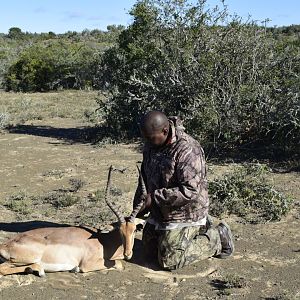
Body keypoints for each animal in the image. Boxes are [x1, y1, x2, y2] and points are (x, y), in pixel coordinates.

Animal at [0, 166, 146, 276]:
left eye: (134, 230)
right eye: (120, 231)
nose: (128, 254)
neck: (103, 241)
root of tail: (5, 245)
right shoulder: (88, 264)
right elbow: (119, 264)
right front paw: (76, 269)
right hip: (24, 259)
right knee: (4, 269)